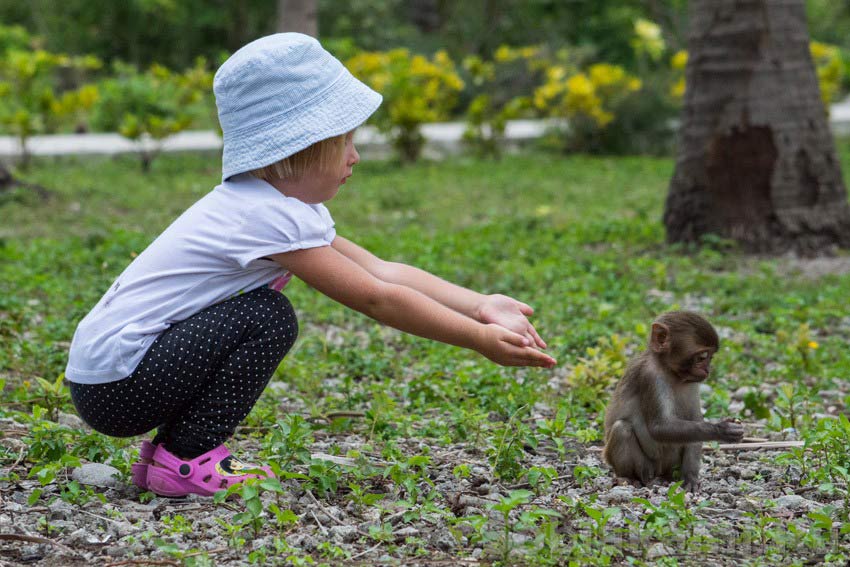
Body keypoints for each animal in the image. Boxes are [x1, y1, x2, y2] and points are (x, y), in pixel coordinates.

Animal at [600, 310, 740, 492]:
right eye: (701, 357)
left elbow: (694, 420)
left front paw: (690, 477)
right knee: (622, 429)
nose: (707, 370)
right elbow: (659, 426)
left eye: (711, 357)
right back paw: (629, 478)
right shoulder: (651, 376)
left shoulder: (692, 382)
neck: (670, 371)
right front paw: (722, 429)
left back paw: (666, 478)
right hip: (645, 467)